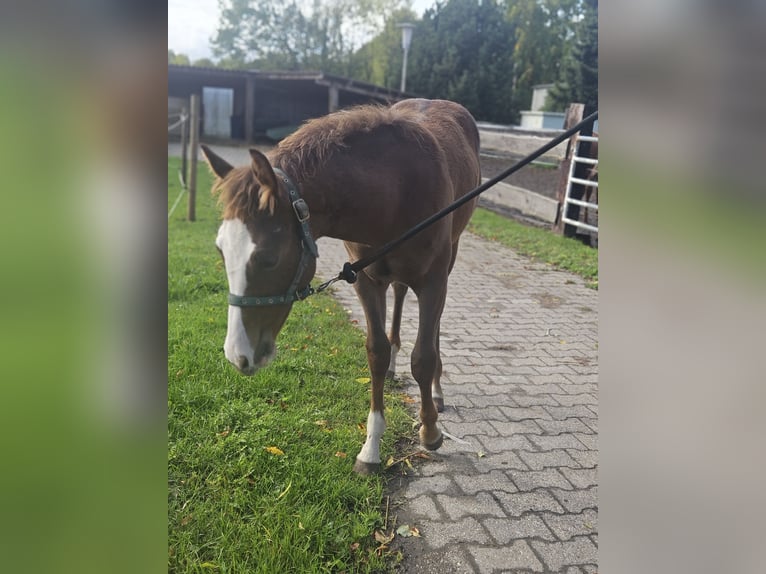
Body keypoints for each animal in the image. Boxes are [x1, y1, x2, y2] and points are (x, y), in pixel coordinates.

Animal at [202, 98, 481, 474]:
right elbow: (376, 352)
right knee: (399, 294)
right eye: (221, 250)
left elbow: (423, 356)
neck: (395, 191)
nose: (238, 355)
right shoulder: (365, 280)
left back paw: (436, 391)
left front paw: (430, 431)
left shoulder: (433, 281)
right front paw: (371, 449)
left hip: (449, 260)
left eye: (269, 258)